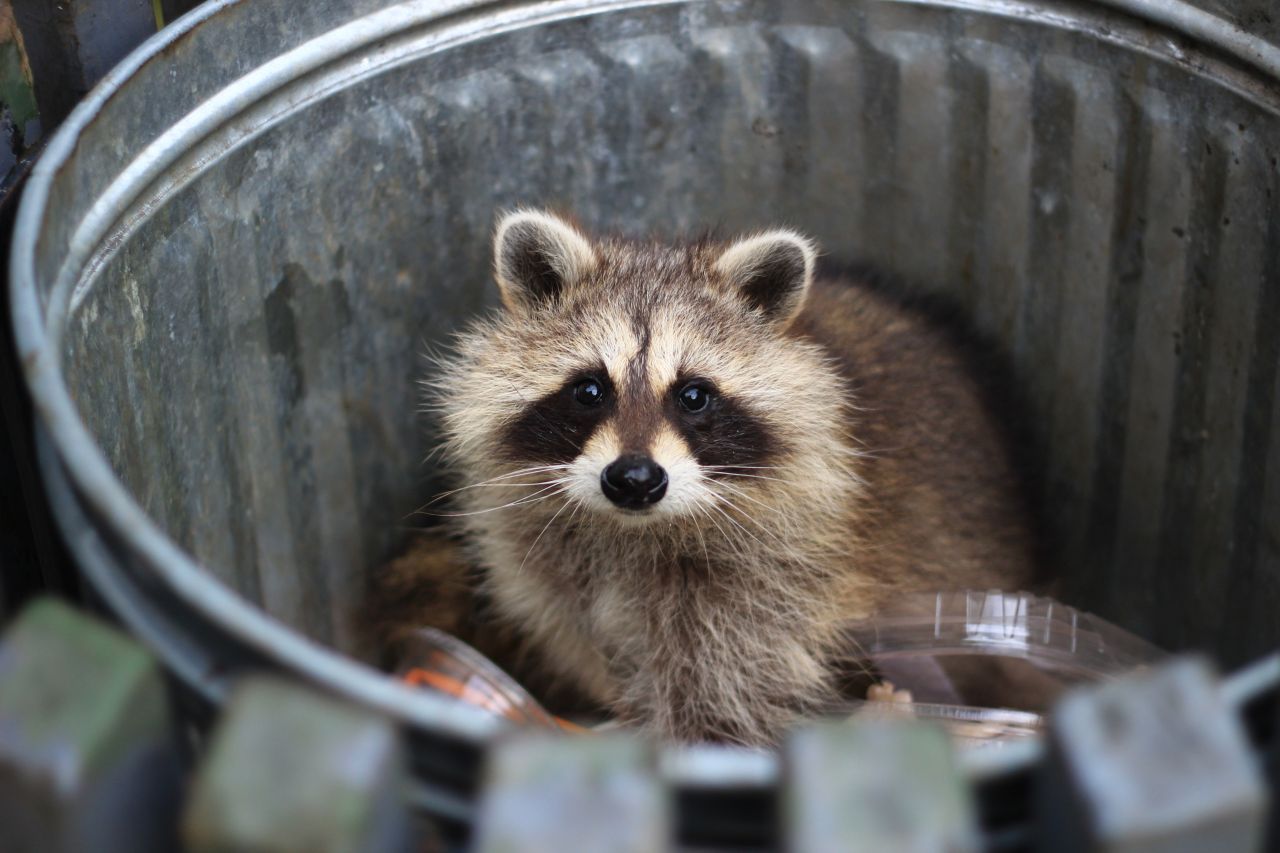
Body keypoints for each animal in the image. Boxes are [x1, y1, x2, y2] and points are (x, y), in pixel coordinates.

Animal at [373, 208, 1034, 742]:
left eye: (694, 396)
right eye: (589, 390)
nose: (634, 479)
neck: (632, 531)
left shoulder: (773, 585)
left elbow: (722, 700)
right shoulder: (544, 567)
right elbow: (578, 635)